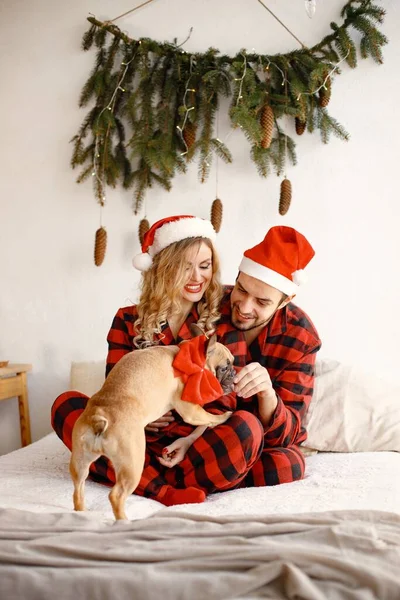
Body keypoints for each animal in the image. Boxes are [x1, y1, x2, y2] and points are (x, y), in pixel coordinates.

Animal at [70, 330, 236, 516]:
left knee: (78, 489)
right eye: (224, 367)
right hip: (132, 463)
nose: (234, 372)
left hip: (80, 461)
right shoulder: (190, 410)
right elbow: (207, 416)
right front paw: (223, 417)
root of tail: (98, 418)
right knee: (116, 496)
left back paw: (82, 513)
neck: (192, 358)